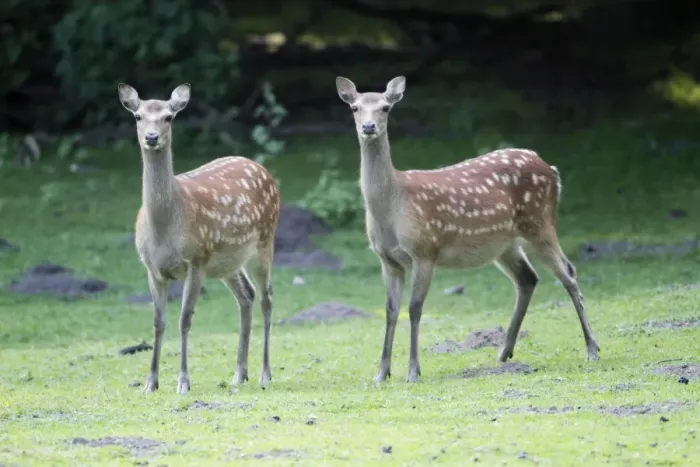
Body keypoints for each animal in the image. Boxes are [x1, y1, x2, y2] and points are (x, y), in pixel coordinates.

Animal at [117, 83, 280, 394]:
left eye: (168, 117)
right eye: (138, 116)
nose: (151, 137)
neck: (165, 230)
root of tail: (264, 170)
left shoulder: (196, 260)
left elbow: (184, 319)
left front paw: (183, 383)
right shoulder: (151, 267)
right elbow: (158, 321)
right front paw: (150, 383)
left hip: (265, 240)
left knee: (266, 298)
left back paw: (265, 374)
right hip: (228, 262)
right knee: (247, 296)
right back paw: (239, 374)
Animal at [335, 75, 600, 383]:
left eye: (385, 108)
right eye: (355, 107)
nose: (368, 127)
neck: (393, 206)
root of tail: (553, 170)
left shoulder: (425, 250)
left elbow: (414, 309)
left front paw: (413, 371)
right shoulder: (388, 260)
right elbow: (390, 311)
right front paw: (381, 374)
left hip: (540, 224)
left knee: (568, 273)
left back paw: (592, 349)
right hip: (506, 244)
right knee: (528, 278)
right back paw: (503, 353)